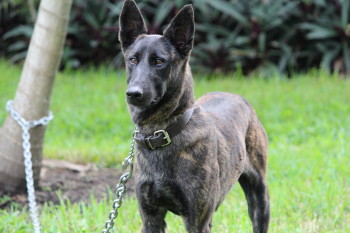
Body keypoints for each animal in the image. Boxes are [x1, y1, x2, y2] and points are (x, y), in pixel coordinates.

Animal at [119, 0, 270, 232]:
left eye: (159, 61)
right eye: (132, 60)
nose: (134, 94)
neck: (161, 132)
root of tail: (234, 95)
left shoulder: (197, 220)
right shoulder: (151, 218)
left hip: (259, 196)